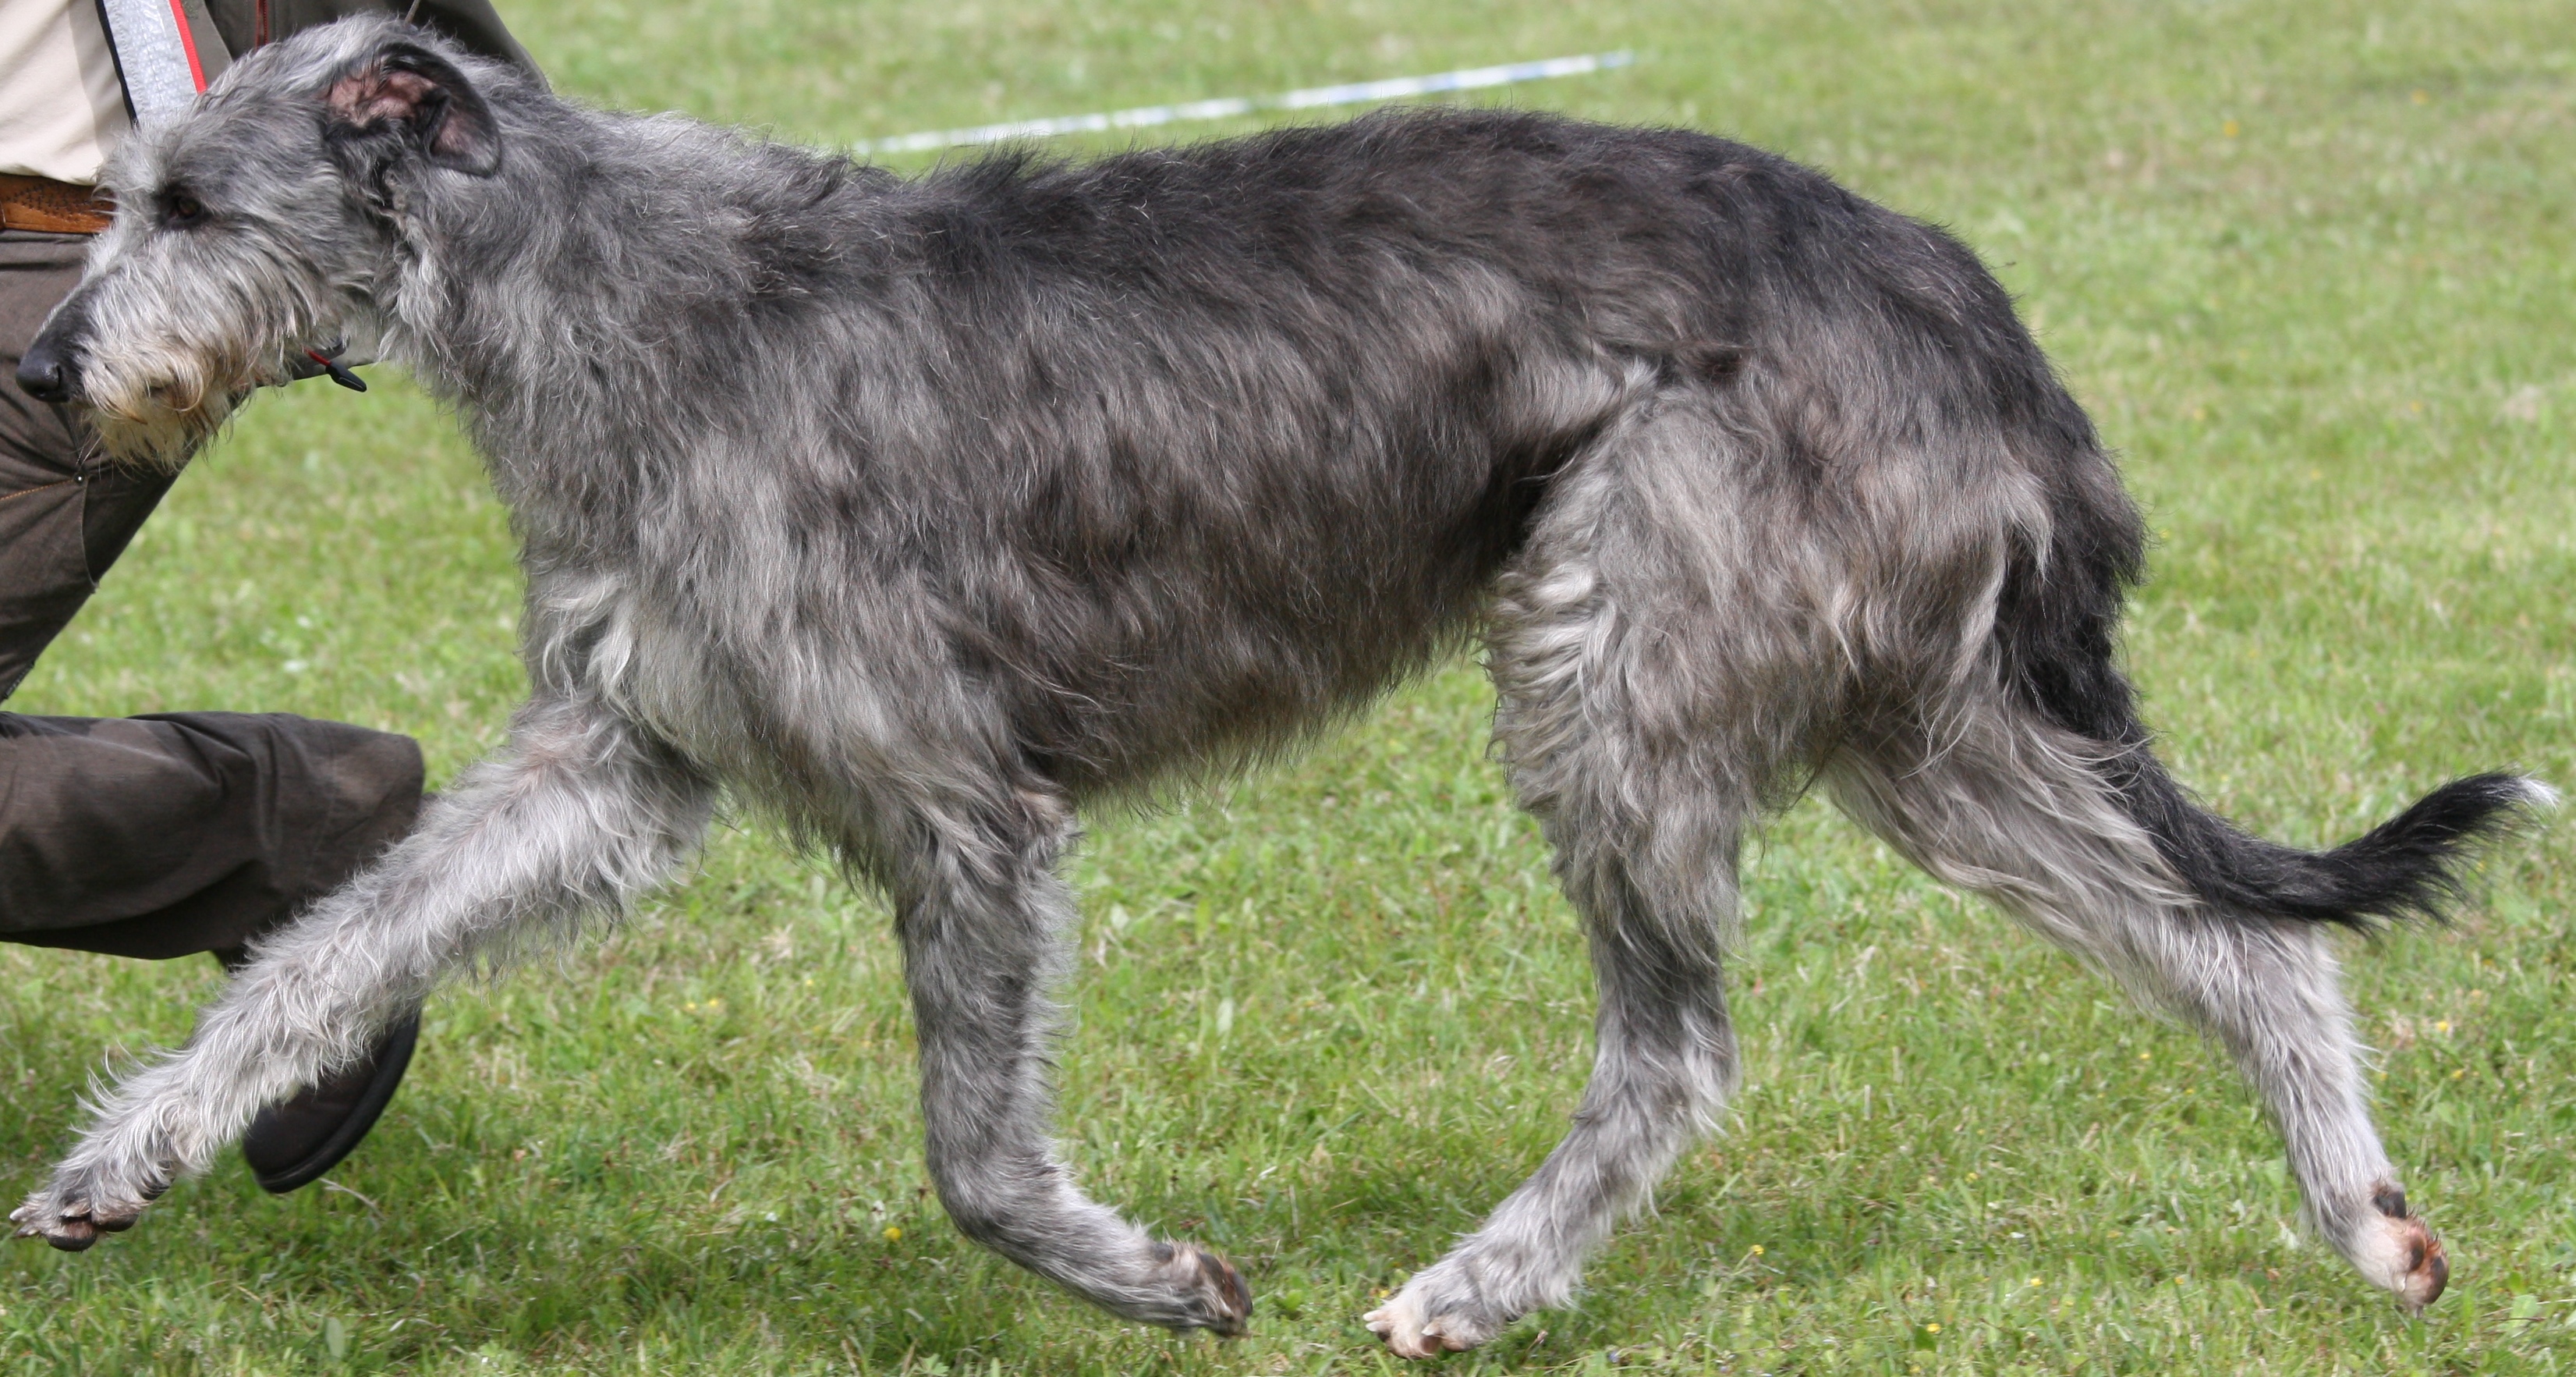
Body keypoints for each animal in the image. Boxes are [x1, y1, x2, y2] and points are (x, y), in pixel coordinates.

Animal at [12, 17, 2543, 1355]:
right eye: (117, 197)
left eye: (189, 206)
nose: (40, 374)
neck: (614, 293)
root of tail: (1962, 299)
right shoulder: (621, 759)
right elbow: (333, 949)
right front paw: (136, 1153)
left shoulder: (961, 804)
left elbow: (969, 1158)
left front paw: (1144, 1276)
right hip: (1913, 721)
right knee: (2242, 948)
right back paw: (2363, 1219)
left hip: (1617, 659)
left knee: (1677, 1048)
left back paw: (1477, 1286)